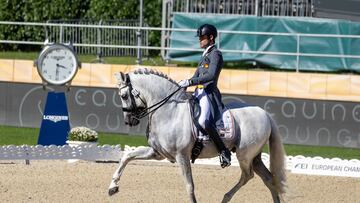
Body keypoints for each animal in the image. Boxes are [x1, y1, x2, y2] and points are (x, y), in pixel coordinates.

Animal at [108, 68, 286, 203]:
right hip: (254, 157)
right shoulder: (157, 153)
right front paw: (112, 187)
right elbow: (127, 157)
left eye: (124, 96)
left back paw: (225, 197)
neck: (169, 111)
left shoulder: (182, 156)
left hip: (245, 155)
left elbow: (189, 185)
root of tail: (264, 113)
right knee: (269, 179)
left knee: (248, 175)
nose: (128, 121)